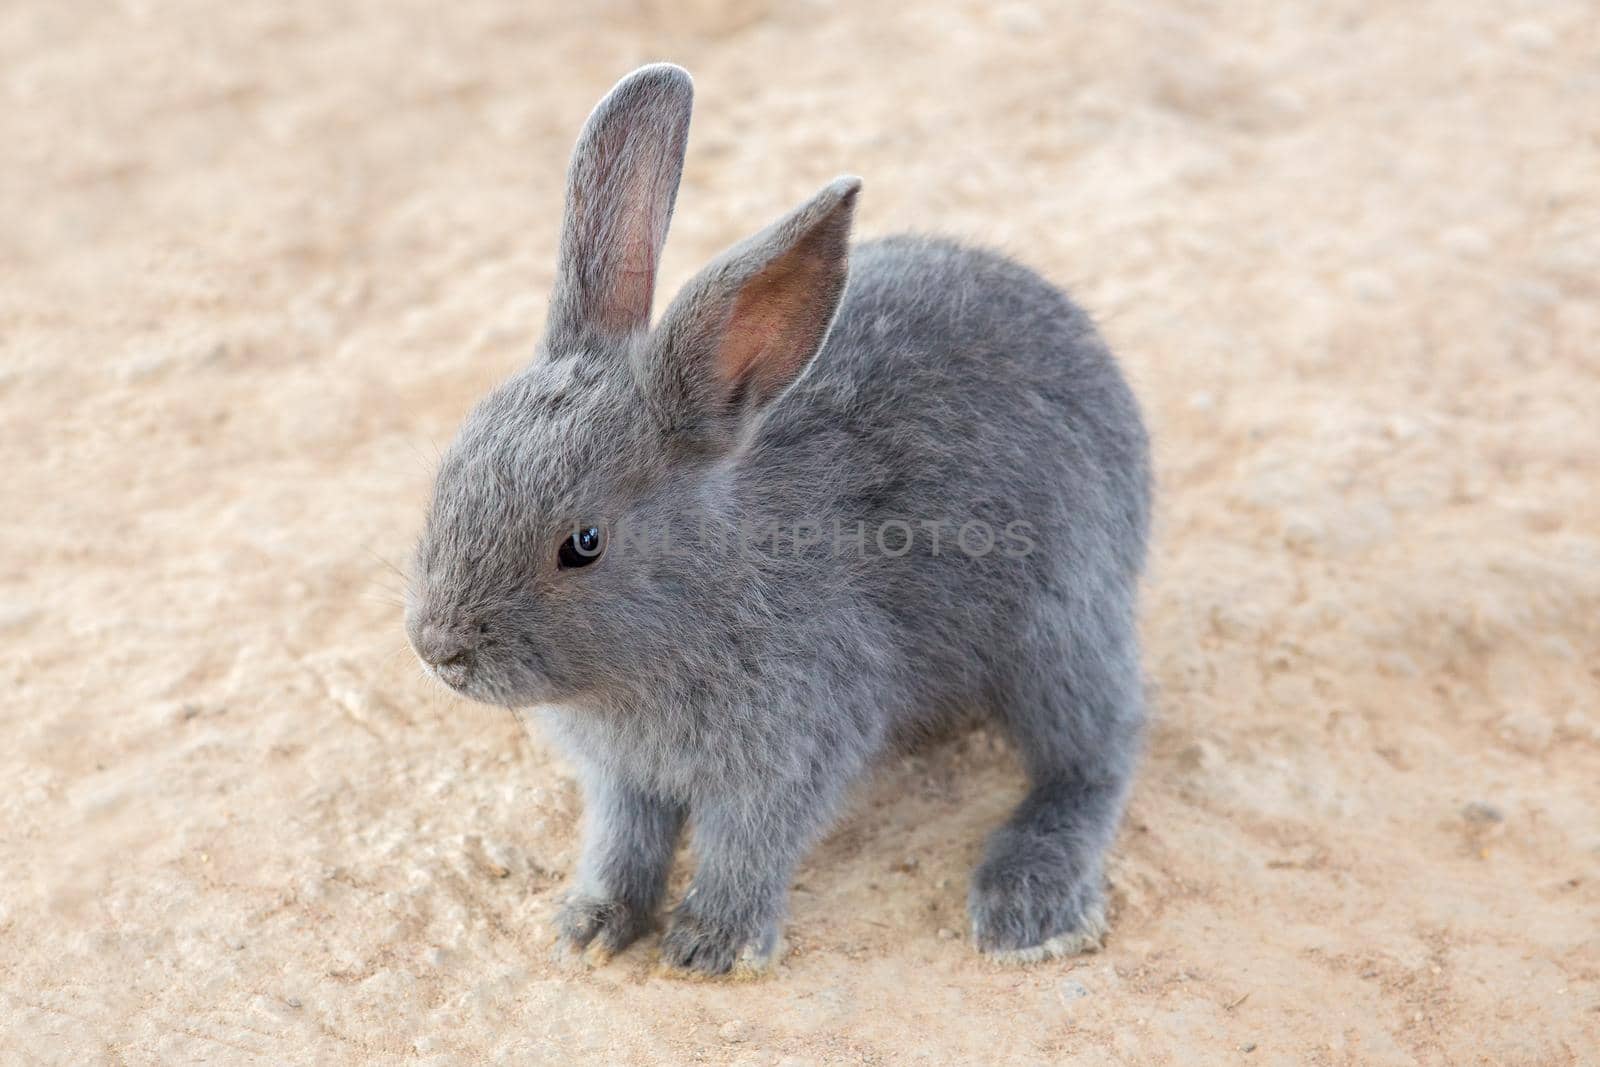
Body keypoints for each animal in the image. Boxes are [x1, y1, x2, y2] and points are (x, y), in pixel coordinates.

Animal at [403, 60, 1152, 979]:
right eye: (452, 470)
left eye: (583, 544)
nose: (437, 647)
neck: (711, 589)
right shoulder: (624, 780)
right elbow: (623, 840)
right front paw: (593, 924)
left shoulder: (789, 750)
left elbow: (746, 843)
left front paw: (710, 944)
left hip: (1057, 630)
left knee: (1098, 750)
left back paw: (1031, 907)